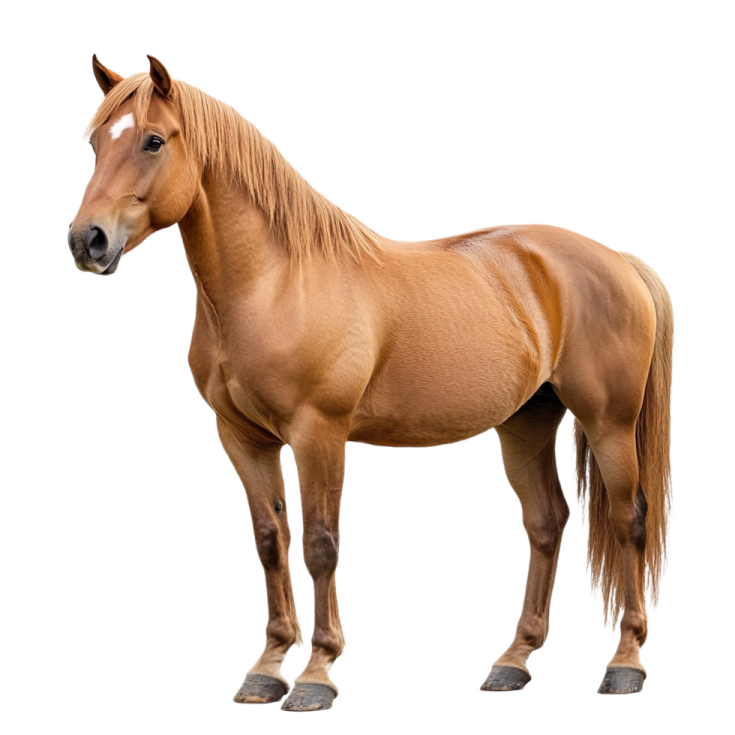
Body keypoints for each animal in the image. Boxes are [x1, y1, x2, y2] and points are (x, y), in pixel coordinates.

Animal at [68, 53, 674, 711]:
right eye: (96, 143)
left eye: (154, 141)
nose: (87, 241)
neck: (275, 283)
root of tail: (615, 258)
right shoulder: (242, 437)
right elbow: (270, 540)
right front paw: (266, 667)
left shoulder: (319, 434)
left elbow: (319, 545)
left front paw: (316, 674)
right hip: (526, 424)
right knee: (545, 523)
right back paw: (512, 662)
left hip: (608, 423)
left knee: (630, 519)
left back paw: (625, 663)